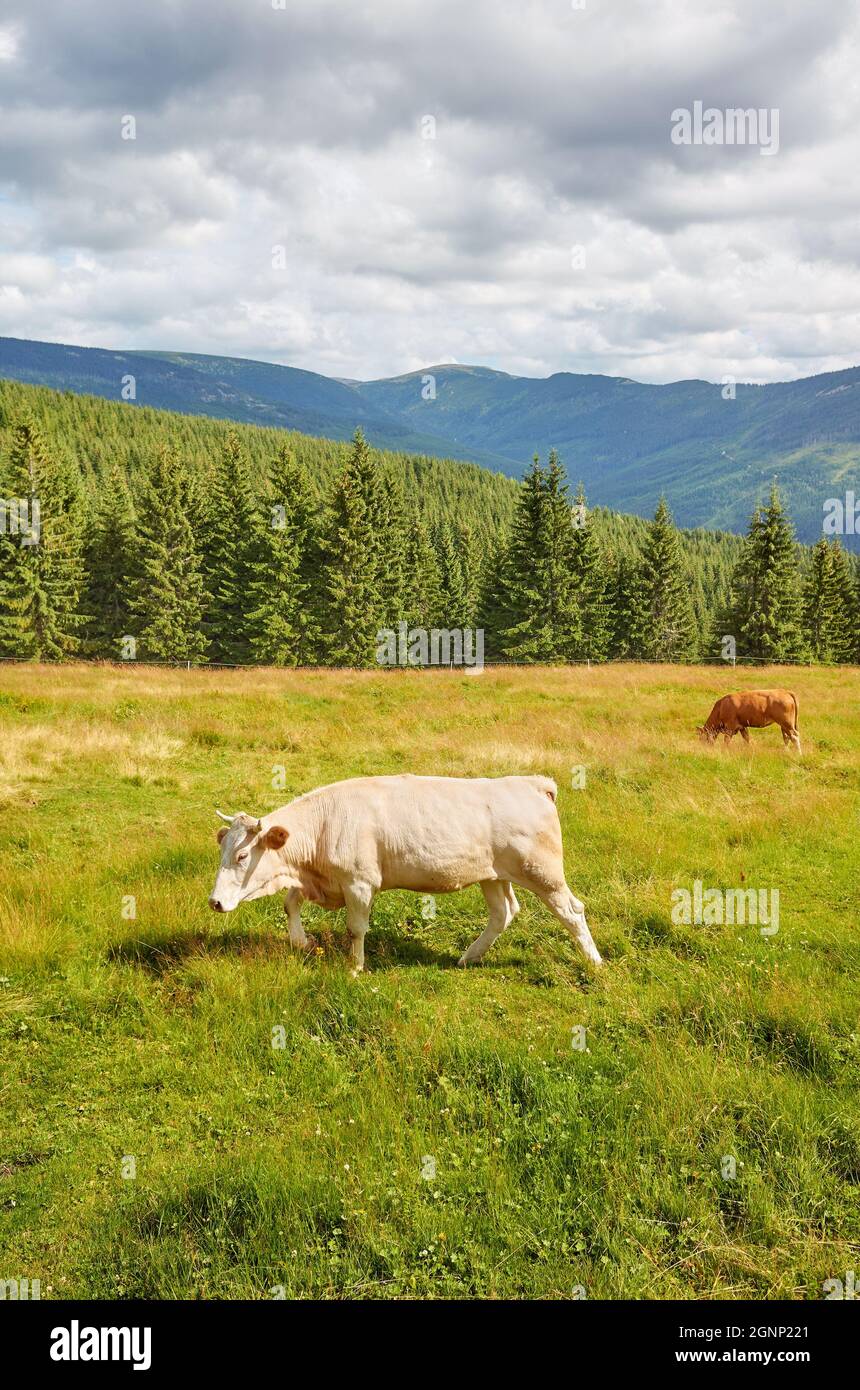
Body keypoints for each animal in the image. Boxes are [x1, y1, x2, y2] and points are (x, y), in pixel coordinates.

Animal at [208, 773, 602, 974]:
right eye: (223, 849)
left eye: (242, 855)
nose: (214, 902)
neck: (323, 825)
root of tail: (533, 783)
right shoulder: (320, 881)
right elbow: (290, 904)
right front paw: (301, 942)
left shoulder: (359, 883)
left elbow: (356, 929)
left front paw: (354, 968)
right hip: (492, 876)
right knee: (503, 913)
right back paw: (469, 957)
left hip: (543, 873)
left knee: (572, 910)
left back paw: (594, 961)